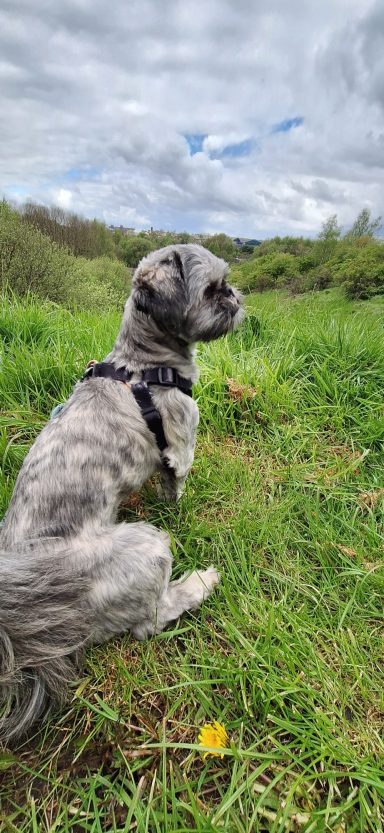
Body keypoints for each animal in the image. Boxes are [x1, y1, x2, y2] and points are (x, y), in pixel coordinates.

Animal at [0, 244, 243, 744]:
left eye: (225, 285)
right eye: (212, 289)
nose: (235, 297)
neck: (146, 365)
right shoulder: (182, 445)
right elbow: (177, 484)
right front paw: (178, 504)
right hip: (144, 549)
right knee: (152, 619)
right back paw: (199, 584)